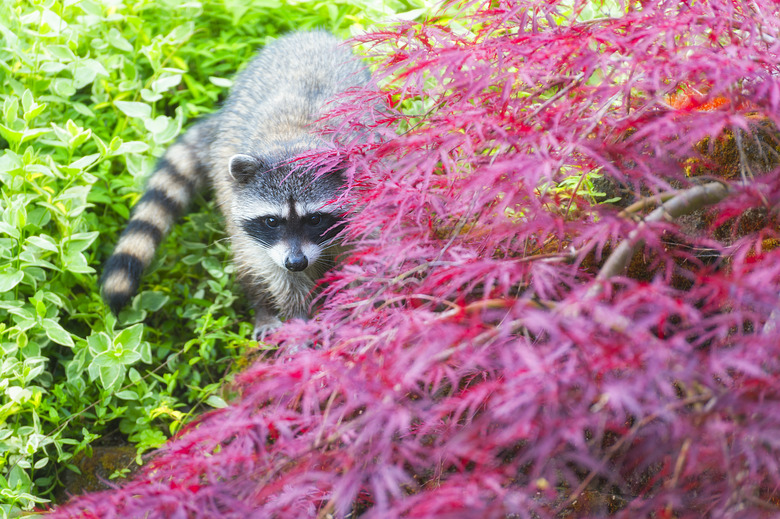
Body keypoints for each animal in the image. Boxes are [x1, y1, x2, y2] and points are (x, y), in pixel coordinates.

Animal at [102, 30, 370, 340]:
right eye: (271, 221)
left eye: (314, 219)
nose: (296, 262)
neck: (292, 142)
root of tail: (308, 34)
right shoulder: (266, 239)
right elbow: (280, 278)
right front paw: (298, 321)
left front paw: (354, 307)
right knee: (249, 260)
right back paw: (262, 308)